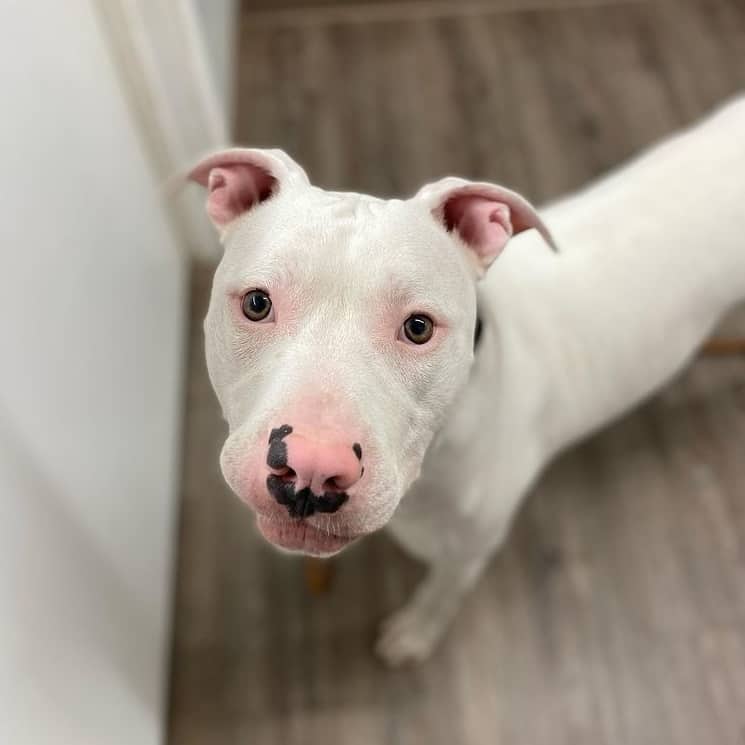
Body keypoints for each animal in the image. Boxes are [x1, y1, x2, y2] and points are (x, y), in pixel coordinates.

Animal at [189, 96, 744, 664]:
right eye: (257, 303)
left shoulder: (467, 553)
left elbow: (441, 593)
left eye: (418, 327)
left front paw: (416, 631)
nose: (312, 469)